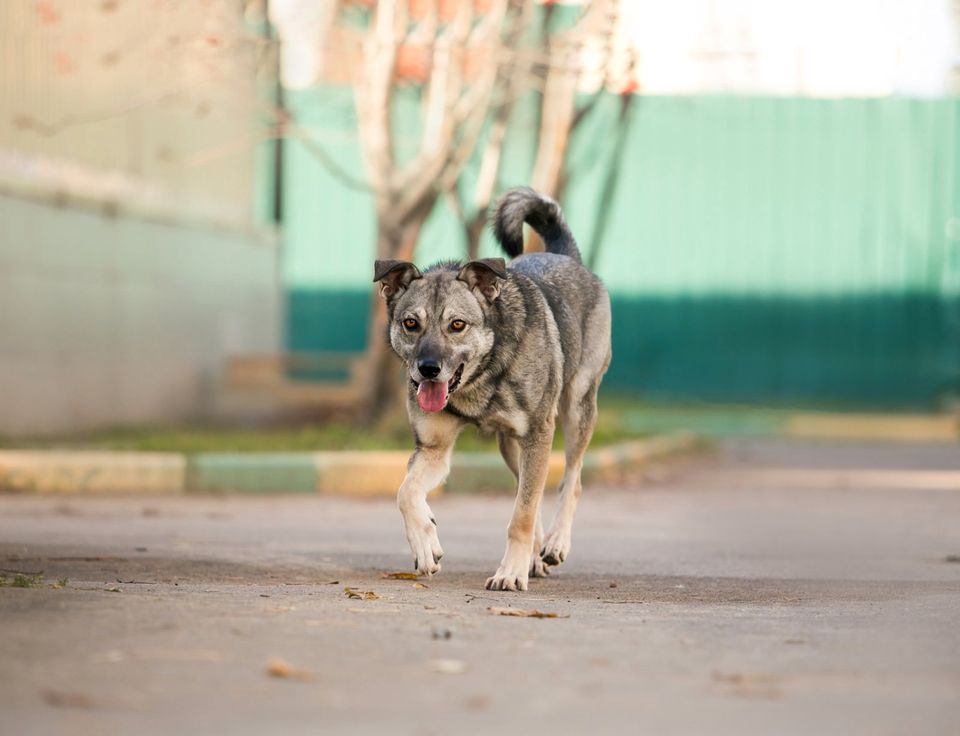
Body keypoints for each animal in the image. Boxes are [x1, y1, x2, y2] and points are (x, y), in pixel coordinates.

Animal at [372, 185, 612, 592]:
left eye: (457, 325)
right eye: (410, 323)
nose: (427, 370)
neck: (481, 377)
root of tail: (566, 256)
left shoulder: (539, 434)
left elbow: (522, 515)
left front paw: (510, 573)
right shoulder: (435, 449)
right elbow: (406, 492)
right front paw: (425, 544)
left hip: (576, 409)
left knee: (571, 481)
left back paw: (554, 544)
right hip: (511, 447)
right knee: (531, 493)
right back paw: (535, 556)